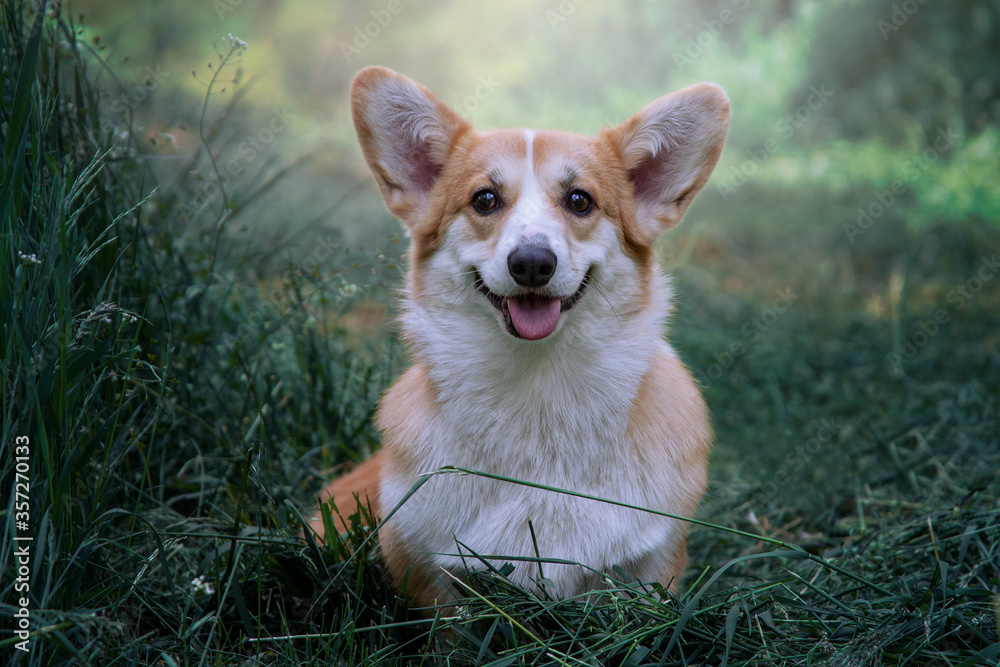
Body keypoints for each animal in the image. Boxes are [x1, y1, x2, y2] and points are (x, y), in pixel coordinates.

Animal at [316, 66, 732, 604]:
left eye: (580, 200)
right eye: (485, 199)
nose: (532, 262)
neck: (537, 386)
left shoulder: (653, 564)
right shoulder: (427, 575)